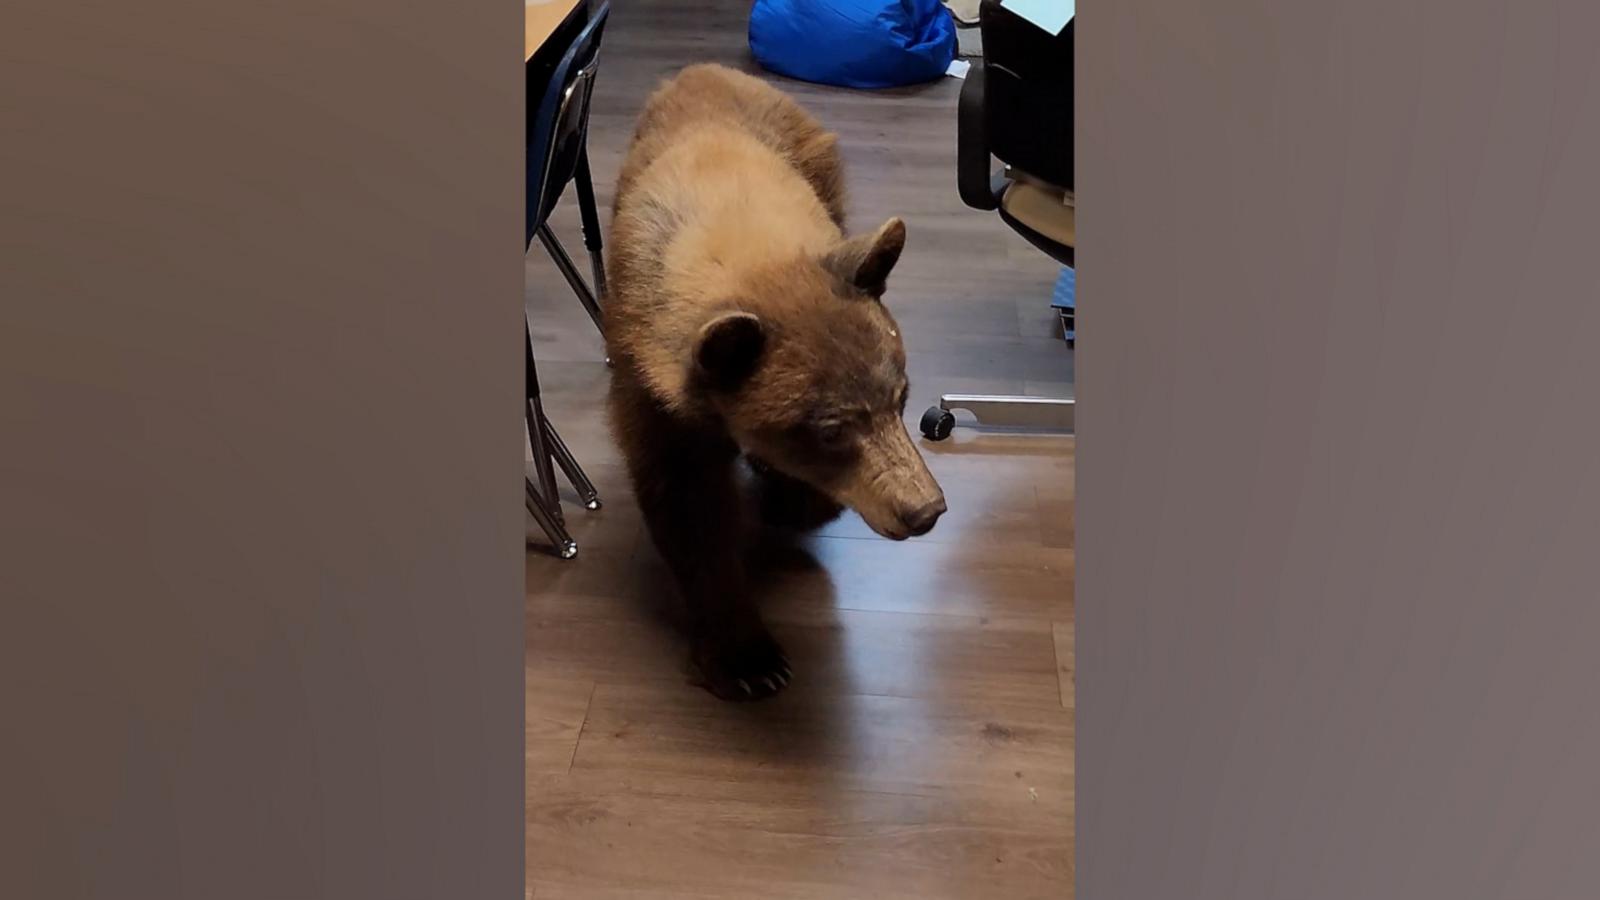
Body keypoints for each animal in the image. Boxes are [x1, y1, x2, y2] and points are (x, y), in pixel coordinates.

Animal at [604, 64, 940, 701]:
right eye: (831, 429)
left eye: (902, 397)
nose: (925, 510)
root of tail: (708, 69)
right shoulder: (649, 375)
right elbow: (689, 505)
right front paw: (749, 660)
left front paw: (795, 496)